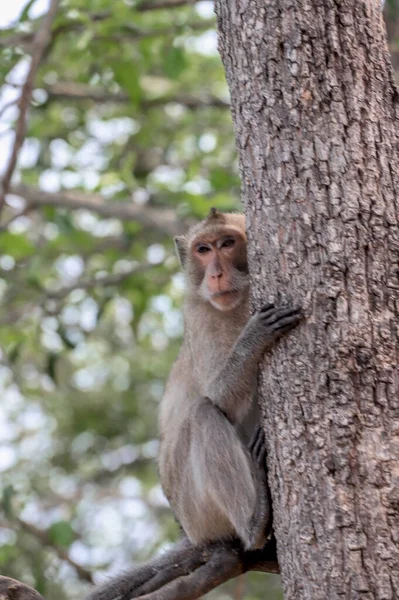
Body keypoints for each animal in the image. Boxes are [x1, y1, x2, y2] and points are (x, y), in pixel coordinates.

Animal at [85, 207, 304, 600]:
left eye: (228, 243)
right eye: (203, 249)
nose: (215, 273)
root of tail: (192, 535)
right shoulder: (200, 317)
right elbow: (216, 399)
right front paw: (253, 338)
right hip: (197, 510)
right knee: (202, 413)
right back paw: (255, 522)